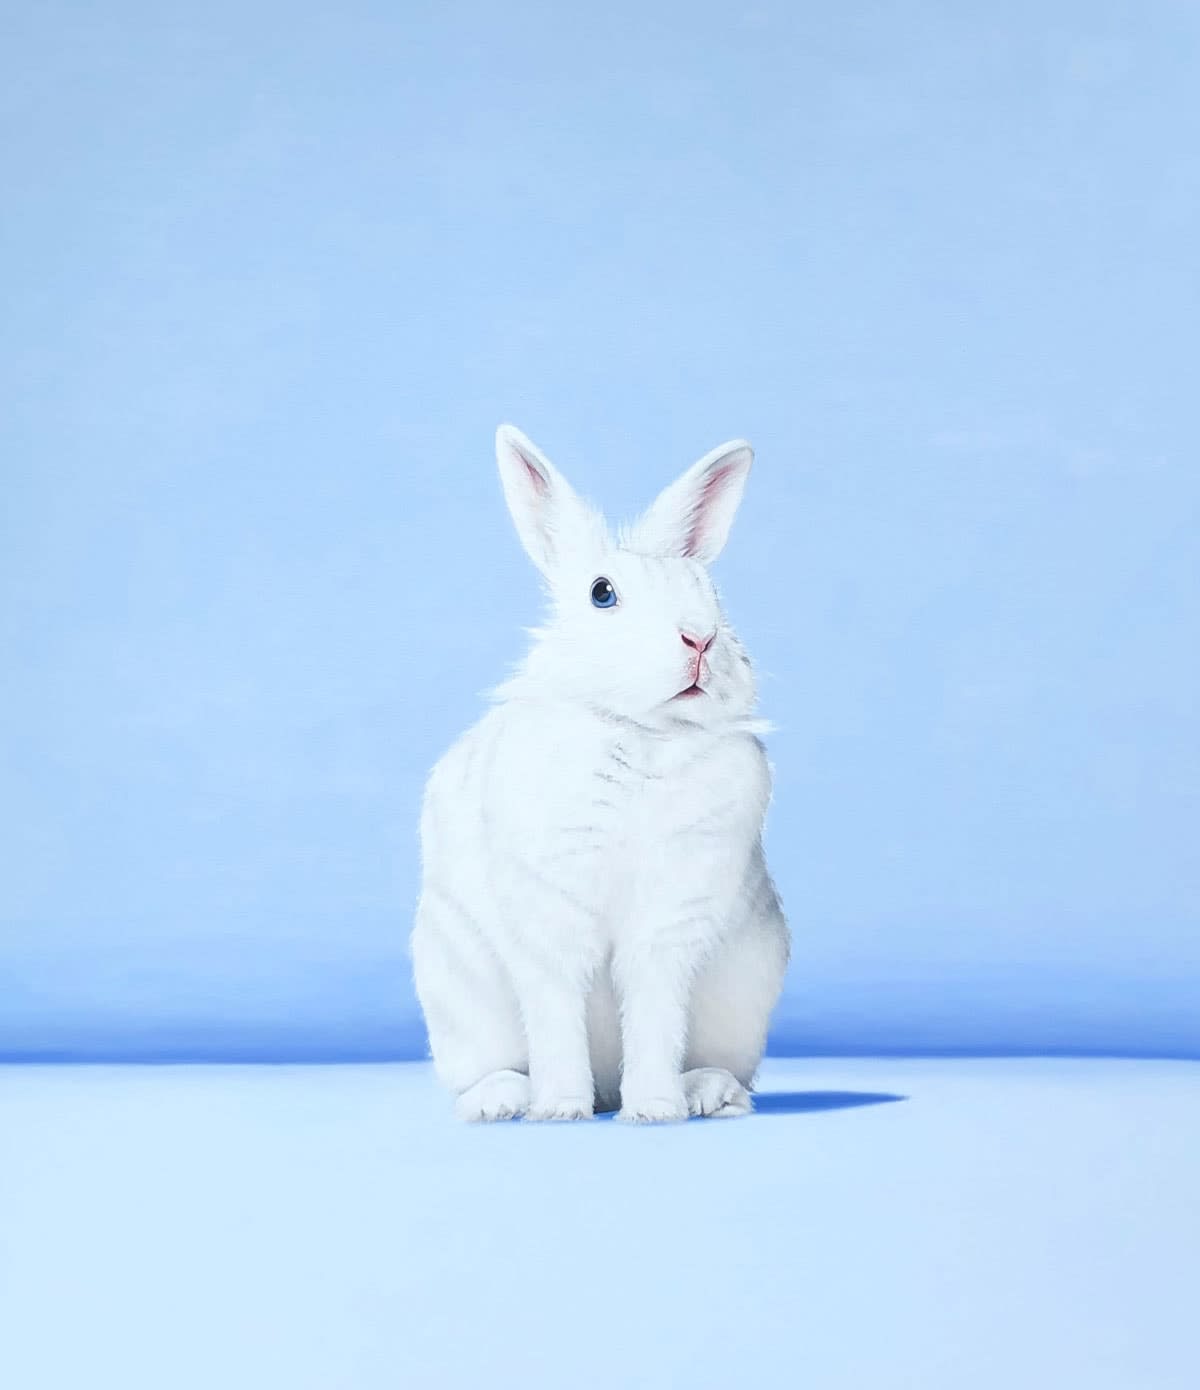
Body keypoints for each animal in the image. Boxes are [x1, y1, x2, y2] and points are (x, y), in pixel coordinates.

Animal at [411, 424, 790, 1123]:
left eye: (711, 594)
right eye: (602, 592)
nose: (700, 640)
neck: (643, 734)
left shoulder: (669, 925)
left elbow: (655, 1015)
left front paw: (655, 1109)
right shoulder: (549, 919)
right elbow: (556, 1013)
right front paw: (562, 1109)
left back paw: (705, 1092)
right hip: (461, 1006)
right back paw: (505, 1100)